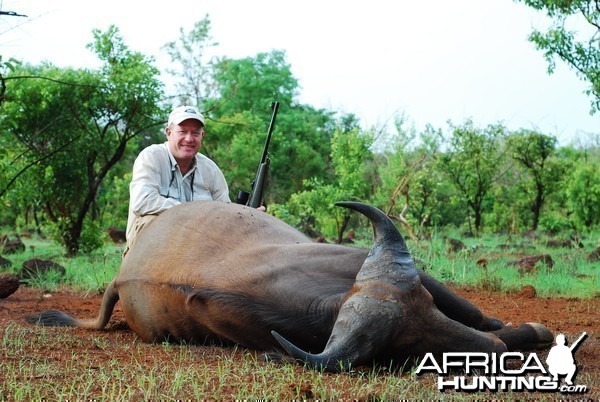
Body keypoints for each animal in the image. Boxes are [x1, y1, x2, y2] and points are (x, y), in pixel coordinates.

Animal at [28, 201, 552, 370]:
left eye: (428, 309)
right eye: (409, 343)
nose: (491, 351)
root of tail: (121, 276)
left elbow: (472, 311)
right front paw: (527, 332)